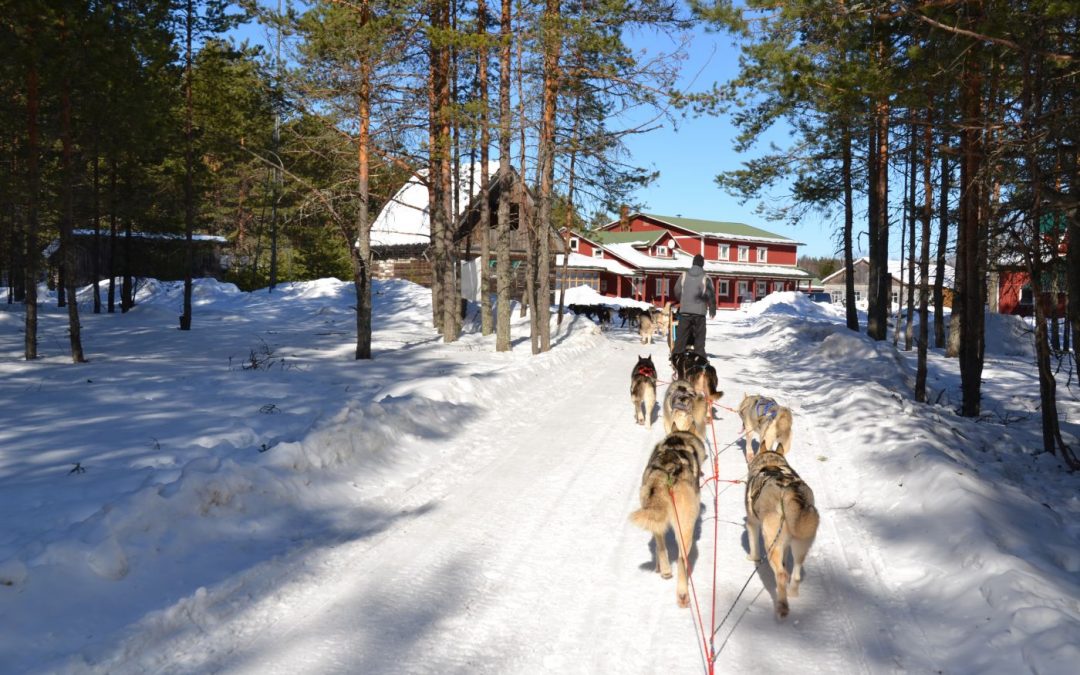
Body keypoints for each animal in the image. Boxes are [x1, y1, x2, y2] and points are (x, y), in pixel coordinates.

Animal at [630, 429, 708, 609]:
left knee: (660, 546)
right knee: (681, 561)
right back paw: (683, 594)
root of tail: (664, 474)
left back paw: (664, 569)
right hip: (685, 532)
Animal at [743, 444, 816, 617]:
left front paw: (752, 558)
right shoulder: (787, 544)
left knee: (782, 575)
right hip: (800, 545)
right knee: (796, 574)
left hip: (771, 544)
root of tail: (788, 492)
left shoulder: (752, 523)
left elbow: (754, 547)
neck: (771, 464)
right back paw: (793, 593)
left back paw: (782, 607)